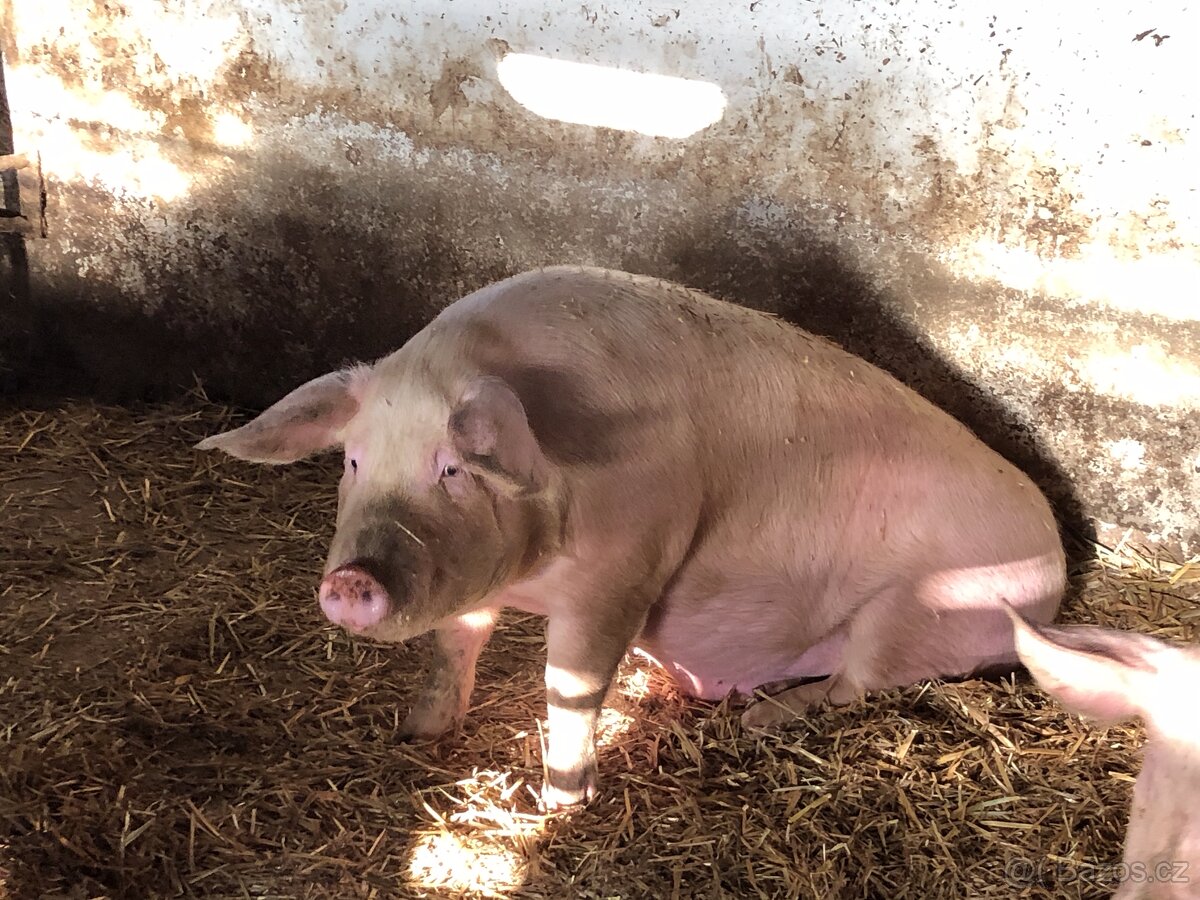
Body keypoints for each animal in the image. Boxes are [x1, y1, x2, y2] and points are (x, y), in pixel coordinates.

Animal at [195, 265, 1066, 809]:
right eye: (352, 458)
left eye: (453, 467)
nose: (351, 581)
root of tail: (1055, 563)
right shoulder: (475, 587)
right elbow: (454, 643)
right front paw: (417, 731)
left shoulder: (623, 571)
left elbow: (572, 685)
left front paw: (555, 803)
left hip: (914, 614)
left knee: (853, 684)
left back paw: (759, 720)